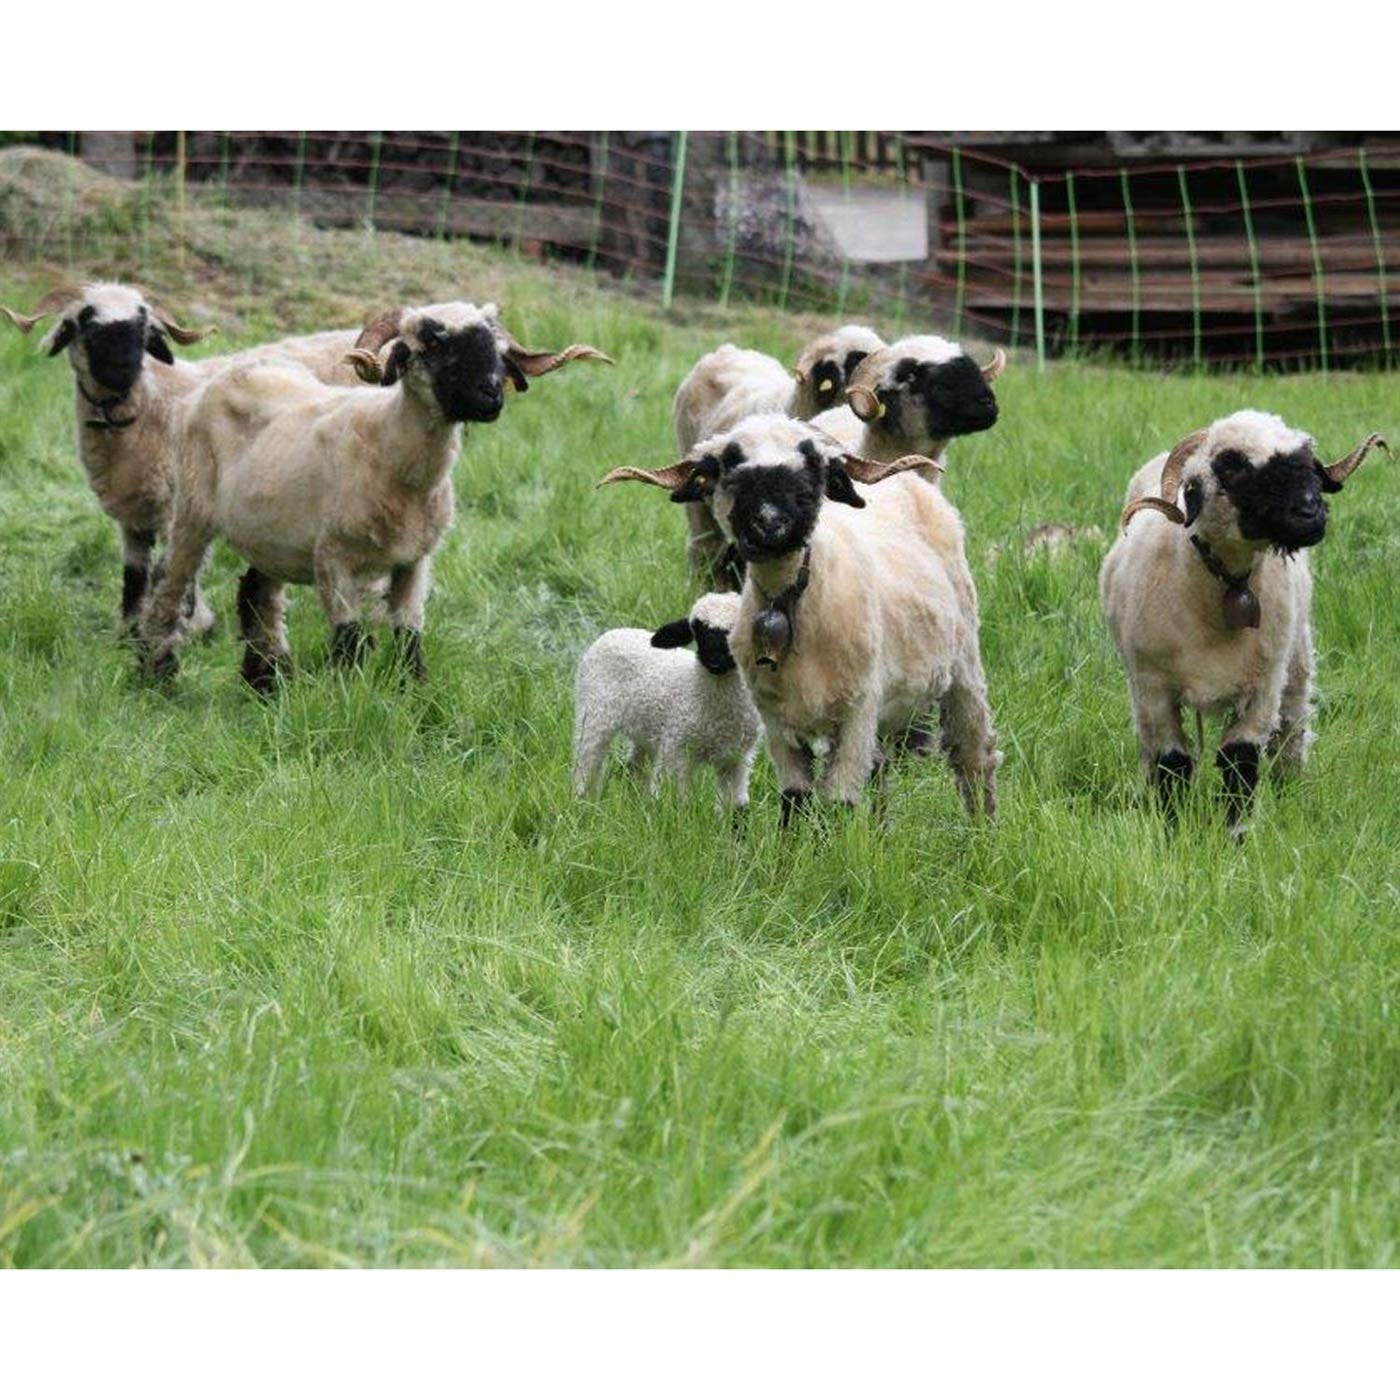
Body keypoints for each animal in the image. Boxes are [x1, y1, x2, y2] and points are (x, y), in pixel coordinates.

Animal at [0, 282, 374, 636]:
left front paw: (192, 626)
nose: (124, 369)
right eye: (86, 321)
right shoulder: (133, 516)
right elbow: (134, 575)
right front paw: (127, 633)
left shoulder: (174, 504)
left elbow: (172, 570)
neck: (147, 405)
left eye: (143, 325)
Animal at [140, 300, 610, 691]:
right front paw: (347, 699)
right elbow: (350, 641)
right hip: (193, 511)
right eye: (433, 342)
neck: (392, 453)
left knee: (258, 594)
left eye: (494, 347)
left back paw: (267, 683)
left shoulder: (415, 562)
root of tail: (230, 374)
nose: (491, 395)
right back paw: (158, 673)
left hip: (271, 534)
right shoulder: (333, 559)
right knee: (169, 585)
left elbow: (408, 636)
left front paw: (415, 696)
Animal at [572, 591, 759, 807]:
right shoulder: (676, 746)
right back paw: (582, 799)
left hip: (644, 731)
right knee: (587, 760)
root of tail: (615, 631)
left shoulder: (737, 759)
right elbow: (679, 800)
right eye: (698, 630)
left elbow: (734, 804)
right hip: (594, 711)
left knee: (635, 767)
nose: (715, 662)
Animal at [598, 413, 1001, 824]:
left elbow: (839, 802)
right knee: (881, 767)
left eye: (812, 464)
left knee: (974, 755)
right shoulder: (776, 718)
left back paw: (981, 831)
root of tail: (910, 481)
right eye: (729, 464)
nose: (770, 523)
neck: (792, 597)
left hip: (963, 663)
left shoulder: (859, 709)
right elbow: (795, 801)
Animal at [1098, 410, 1387, 834]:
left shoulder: (1262, 688)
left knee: (1291, 731)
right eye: (1232, 466)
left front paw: (1236, 834)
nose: (1311, 514)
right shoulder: (1152, 686)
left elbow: (1241, 762)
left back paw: (1289, 789)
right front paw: (1173, 830)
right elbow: (1172, 763)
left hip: (1296, 662)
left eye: (1308, 463)